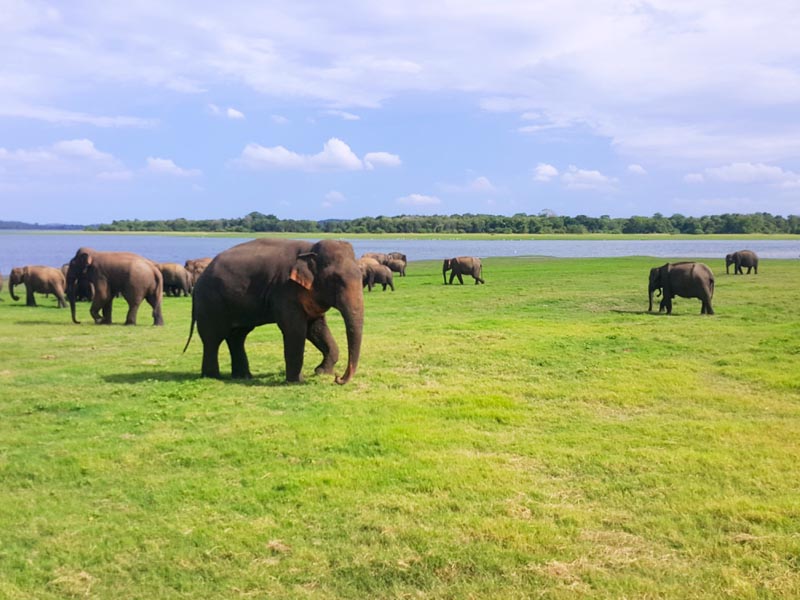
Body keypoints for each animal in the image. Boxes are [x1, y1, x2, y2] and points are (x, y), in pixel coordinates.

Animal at [184, 239, 362, 384]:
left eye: (361, 277)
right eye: (335, 280)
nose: (338, 378)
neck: (309, 248)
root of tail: (198, 281)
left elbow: (316, 328)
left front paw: (321, 372)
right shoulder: (285, 290)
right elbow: (296, 330)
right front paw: (296, 382)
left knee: (237, 336)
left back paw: (243, 376)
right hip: (210, 303)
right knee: (213, 338)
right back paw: (212, 377)